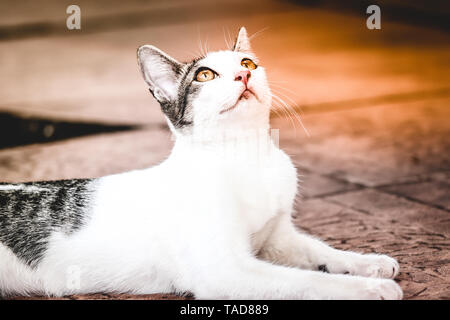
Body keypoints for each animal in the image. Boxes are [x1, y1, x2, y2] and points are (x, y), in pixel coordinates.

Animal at [0, 27, 402, 300]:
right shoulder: (225, 270)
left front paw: (369, 262)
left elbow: (319, 251)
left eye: (247, 62)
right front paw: (371, 287)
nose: (244, 74)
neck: (247, 157)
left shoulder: (277, 238)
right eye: (204, 75)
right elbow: (309, 281)